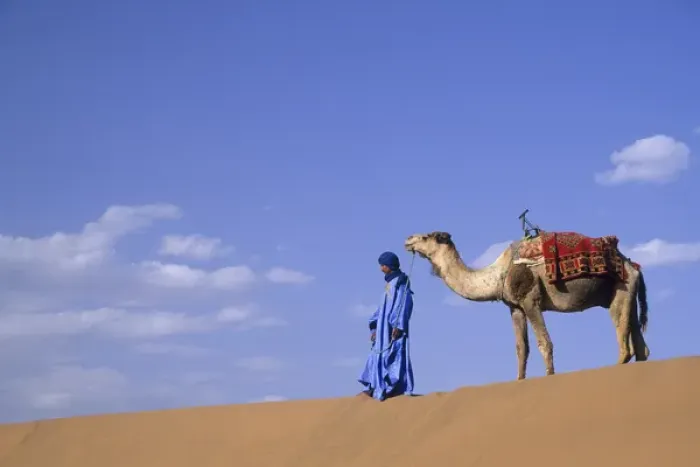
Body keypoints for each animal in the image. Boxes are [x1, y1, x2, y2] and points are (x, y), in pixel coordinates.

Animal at [404, 231, 650, 380]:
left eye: (426, 236)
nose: (408, 239)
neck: (498, 274)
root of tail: (634, 267)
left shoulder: (530, 300)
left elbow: (544, 343)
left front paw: (549, 376)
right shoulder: (515, 307)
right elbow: (521, 348)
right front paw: (519, 380)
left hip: (621, 290)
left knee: (624, 343)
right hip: (628, 296)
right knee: (640, 346)